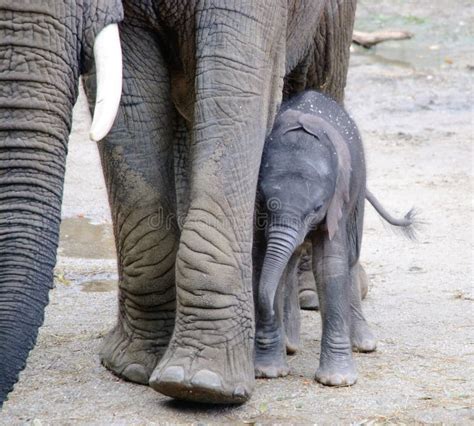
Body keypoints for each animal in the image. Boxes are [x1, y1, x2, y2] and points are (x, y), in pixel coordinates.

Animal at [254, 90, 416, 386]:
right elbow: (261, 258)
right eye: (264, 199)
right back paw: (290, 344)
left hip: (358, 188)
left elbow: (330, 264)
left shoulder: (338, 198)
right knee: (290, 259)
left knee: (350, 257)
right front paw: (269, 371)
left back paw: (363, 343)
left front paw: (337, 380)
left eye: (317, 207)